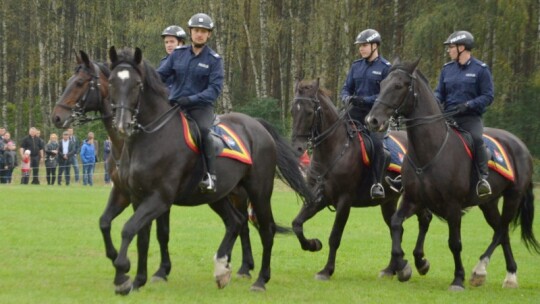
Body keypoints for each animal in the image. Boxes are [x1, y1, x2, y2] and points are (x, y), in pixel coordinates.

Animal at [288, 78, 432, 280]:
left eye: (309, 112)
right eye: (293, 111)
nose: (297, 148)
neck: (333, 150)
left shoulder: (344, 201)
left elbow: (334, 237)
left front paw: (326, 270)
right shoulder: (317, 198)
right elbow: (297, 224)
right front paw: (313, 244)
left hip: (415, 196)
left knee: (424, 219)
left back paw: (420, 263)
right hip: (389, 201)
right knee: (396, 228)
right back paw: (393, 268)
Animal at [364, 58, 536, 290]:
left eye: (399, 86)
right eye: (381, 84)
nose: (372, 120)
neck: (430, 151)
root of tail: (520, 144)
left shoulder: (453, 206)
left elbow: (455, 243)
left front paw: (458, 279)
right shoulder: (412, 199)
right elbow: (396, 224)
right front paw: (407, 266)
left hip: (513, 197)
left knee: (501, 230)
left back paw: (481, 269)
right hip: (488, 202)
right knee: (503, 232)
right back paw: (508, 275)